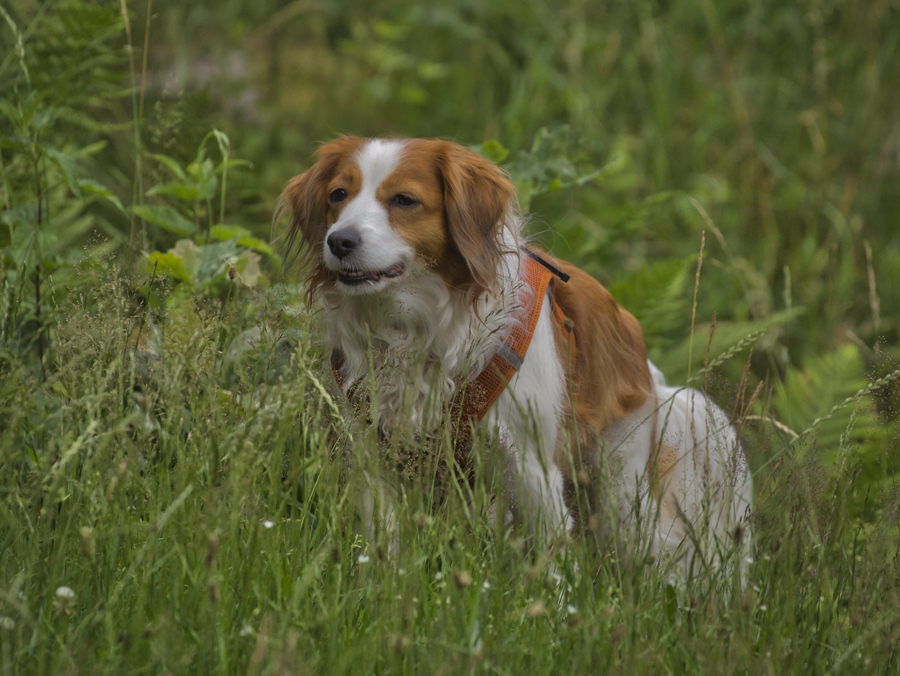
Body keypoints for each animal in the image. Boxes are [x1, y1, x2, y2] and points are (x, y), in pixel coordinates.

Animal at [280, 137, 752, 576]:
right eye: (338, 194)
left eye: (404, 200)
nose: (339, 241)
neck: (413, 324)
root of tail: (649, 371)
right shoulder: (371, 454)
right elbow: (385, 542)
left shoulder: (528, 462)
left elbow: (554, 559)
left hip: (623, 494)